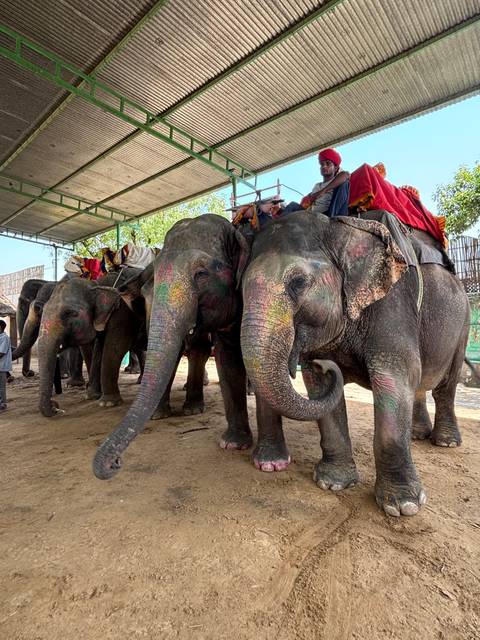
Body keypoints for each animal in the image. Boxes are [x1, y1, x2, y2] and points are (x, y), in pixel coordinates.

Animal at [93, 213, 251, 480]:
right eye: (146, 291)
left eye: (201, 274)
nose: (115, 462)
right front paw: (159, 415)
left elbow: (200, 348)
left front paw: (192, 411)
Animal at [240, 210, 470, 517]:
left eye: (298, 283)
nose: (329, 367)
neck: (340, 228)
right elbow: (320, 387)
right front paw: (333, 483)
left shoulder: (393, 304)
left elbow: (395, 378)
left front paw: (403, 507)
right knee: (420, 384)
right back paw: (417, 435)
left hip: (463, 325)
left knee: (445, 386)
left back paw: (446, 442)